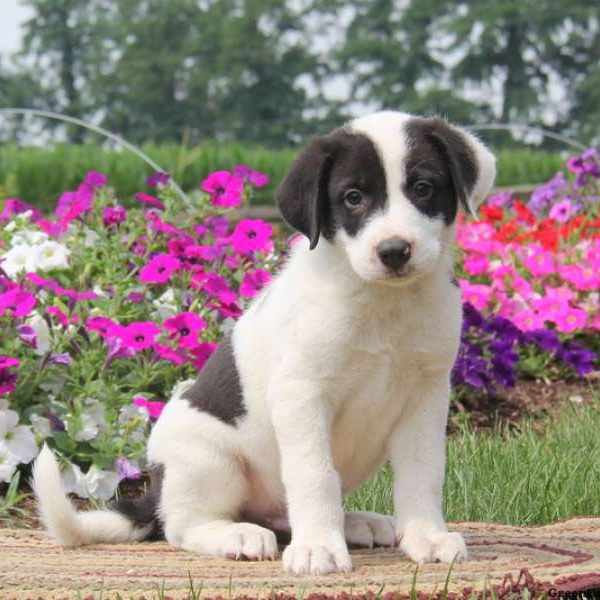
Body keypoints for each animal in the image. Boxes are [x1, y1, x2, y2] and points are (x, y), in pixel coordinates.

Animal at [35, 110, 500, 576]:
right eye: (352, 197)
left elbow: (423, 471)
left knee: (280, 514)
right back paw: (237, 534)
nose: (394, 250)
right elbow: (313, 474)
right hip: (208, 459)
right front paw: (318, 548)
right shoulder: (301, 394)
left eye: (423, 188)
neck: (382, 302)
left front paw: (426, 536)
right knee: (182, 526)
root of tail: (156, 490)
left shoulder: (426, 393)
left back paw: (355, 523)